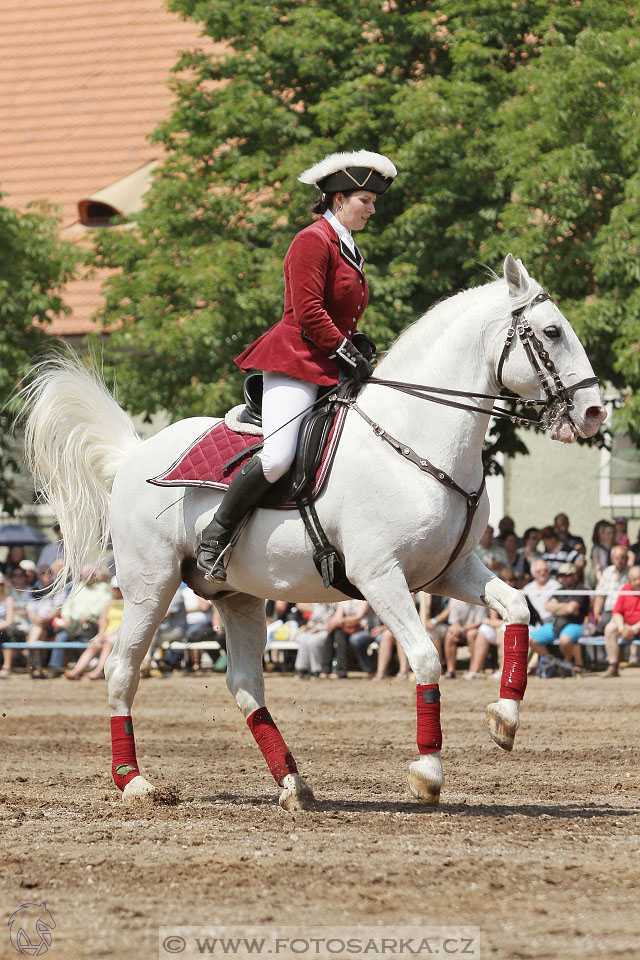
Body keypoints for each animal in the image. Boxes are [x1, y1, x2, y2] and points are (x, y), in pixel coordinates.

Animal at [22, 253, 608, 808]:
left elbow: (516, 608)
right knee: (122, 670)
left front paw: (504, 719)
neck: (416, 442)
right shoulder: (380, 575)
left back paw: (293, 784)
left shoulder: (449, 571)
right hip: (152, 584)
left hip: (238, 595)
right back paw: (135, 782)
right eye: (552, 332)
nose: (595, 412)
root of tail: (132, 458)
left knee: (244, 684)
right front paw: (428, 772)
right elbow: (425, 656)